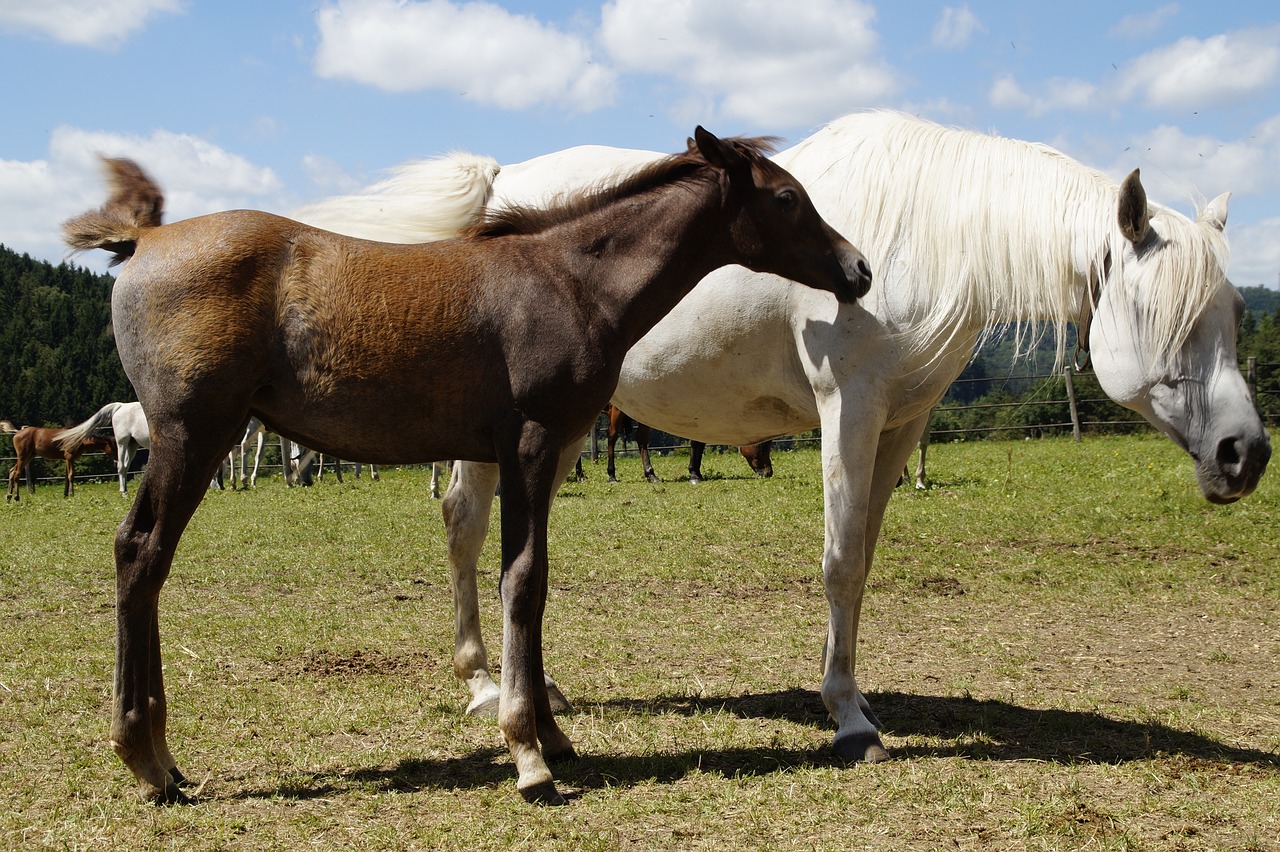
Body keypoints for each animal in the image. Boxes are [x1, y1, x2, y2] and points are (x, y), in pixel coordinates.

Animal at [64, 126, 875, 803]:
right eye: (786, 197)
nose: (859, 269)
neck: (571, 282)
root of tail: (144, 240)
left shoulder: (543, 452)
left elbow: (532, 578)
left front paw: (552, 733)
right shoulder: (533, 443)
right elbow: (522, 580)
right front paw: (528, 753)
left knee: (146, 558)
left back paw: (164, 761)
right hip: (193, 433)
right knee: (141, 551)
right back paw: (146, 757)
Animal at [299, 108, 1269, 762]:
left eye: (1229, 314)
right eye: (1168, 315)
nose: (1246, 453)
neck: (922, 234)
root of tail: (499, 185)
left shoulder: (899, 424)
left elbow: (863, 562)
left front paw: (852, 694)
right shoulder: (850, 407)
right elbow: (838, 562)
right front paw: (850, 720)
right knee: (465, 524)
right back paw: (483, 686)